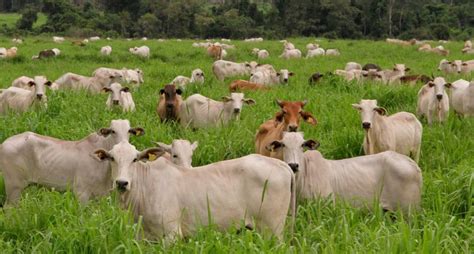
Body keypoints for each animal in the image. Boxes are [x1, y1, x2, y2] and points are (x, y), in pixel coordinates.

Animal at [0, 118, 144, 204]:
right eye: (113, 131)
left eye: (129, 131)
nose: (123, 143)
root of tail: (4, 143)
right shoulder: (81, 193)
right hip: (14, 187)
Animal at [93, 142, 296, 241]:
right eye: (111, 158)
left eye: (135, 159)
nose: (122, 183)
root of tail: (281, 164)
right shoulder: (144, 236)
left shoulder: (172, 234)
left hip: (272, 229)